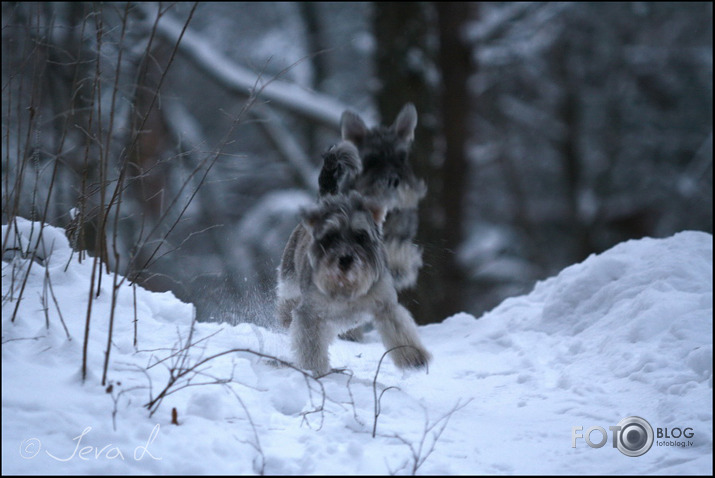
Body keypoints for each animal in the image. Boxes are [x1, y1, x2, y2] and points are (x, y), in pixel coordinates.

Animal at [276, 191, 430, 378]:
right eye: (330, 236)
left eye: (361, 236)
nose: (345, 259)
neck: (346, 285)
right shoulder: (310, 313)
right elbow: (310, 346)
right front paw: (313, 371)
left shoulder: (385, 306)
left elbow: (400, 331)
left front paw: (414, 357)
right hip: (290, 282)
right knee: (287, 302)